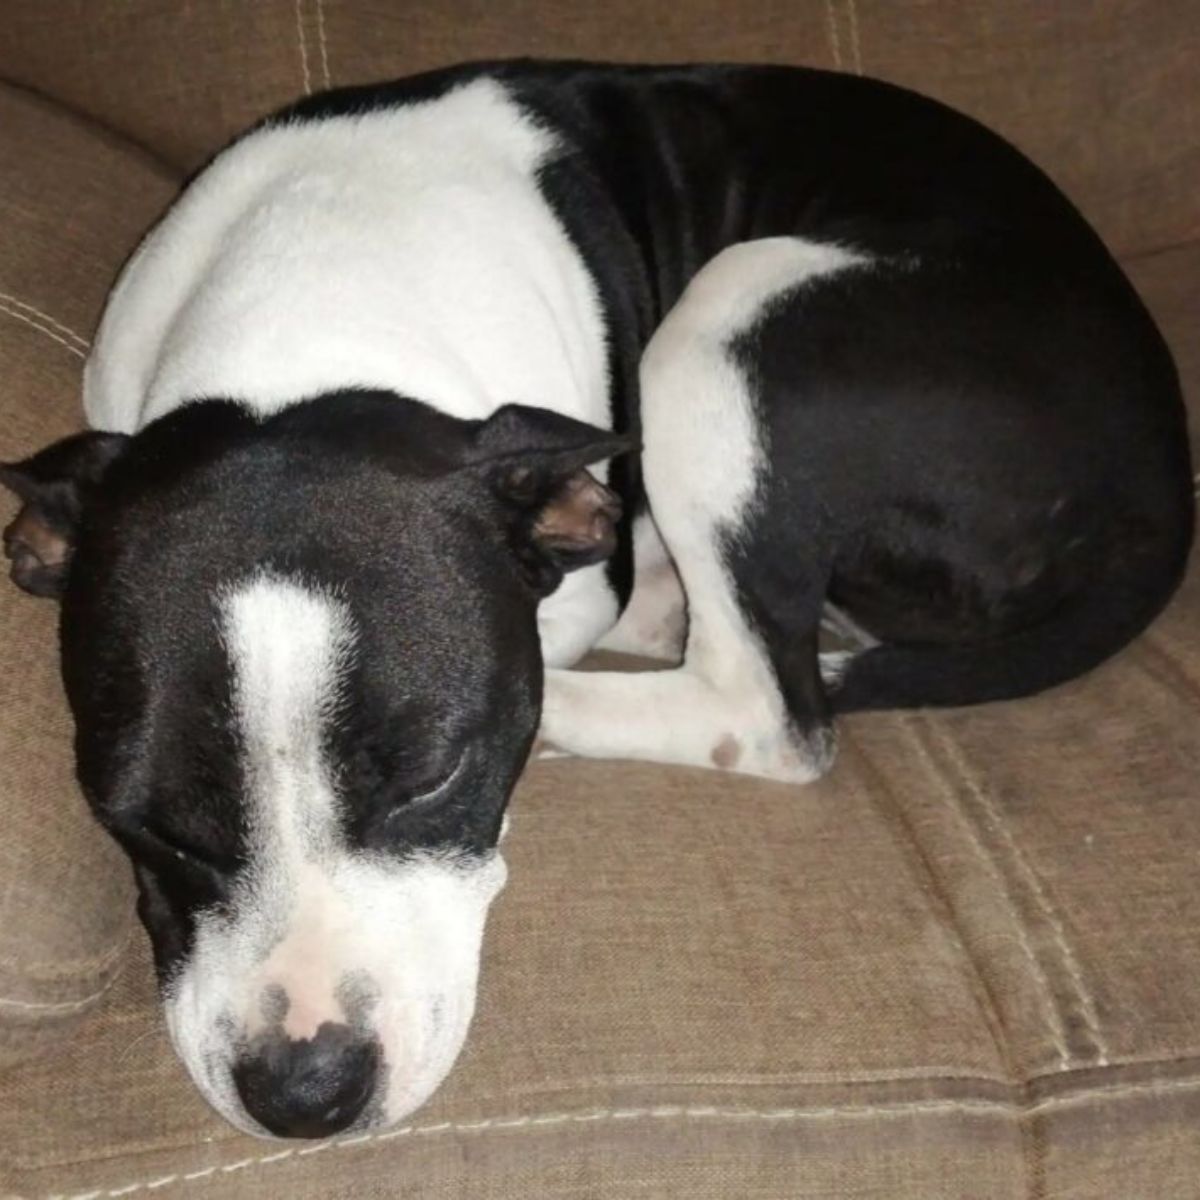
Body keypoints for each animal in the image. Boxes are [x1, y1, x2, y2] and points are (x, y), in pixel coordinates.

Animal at [2, 60, 1190, 1137]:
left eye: (434, 778)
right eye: (138, 821)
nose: (304, 1092)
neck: (300, 337)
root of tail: (1163, 486)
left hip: (732, 315)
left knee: (764, 707)